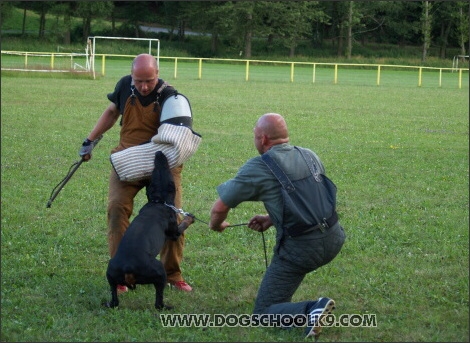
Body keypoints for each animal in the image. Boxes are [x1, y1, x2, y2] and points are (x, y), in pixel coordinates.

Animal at [105, 152, 194, 310]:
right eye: (168, 172)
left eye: (154, 173)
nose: (159, 153)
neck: (158, 201)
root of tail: (128, 268)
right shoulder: (173, 231)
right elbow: (181, 226)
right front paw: (190, 217)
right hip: (158, 271)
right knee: (158, 303)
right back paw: (167, 307)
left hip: (111, 273)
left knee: (115, 300)